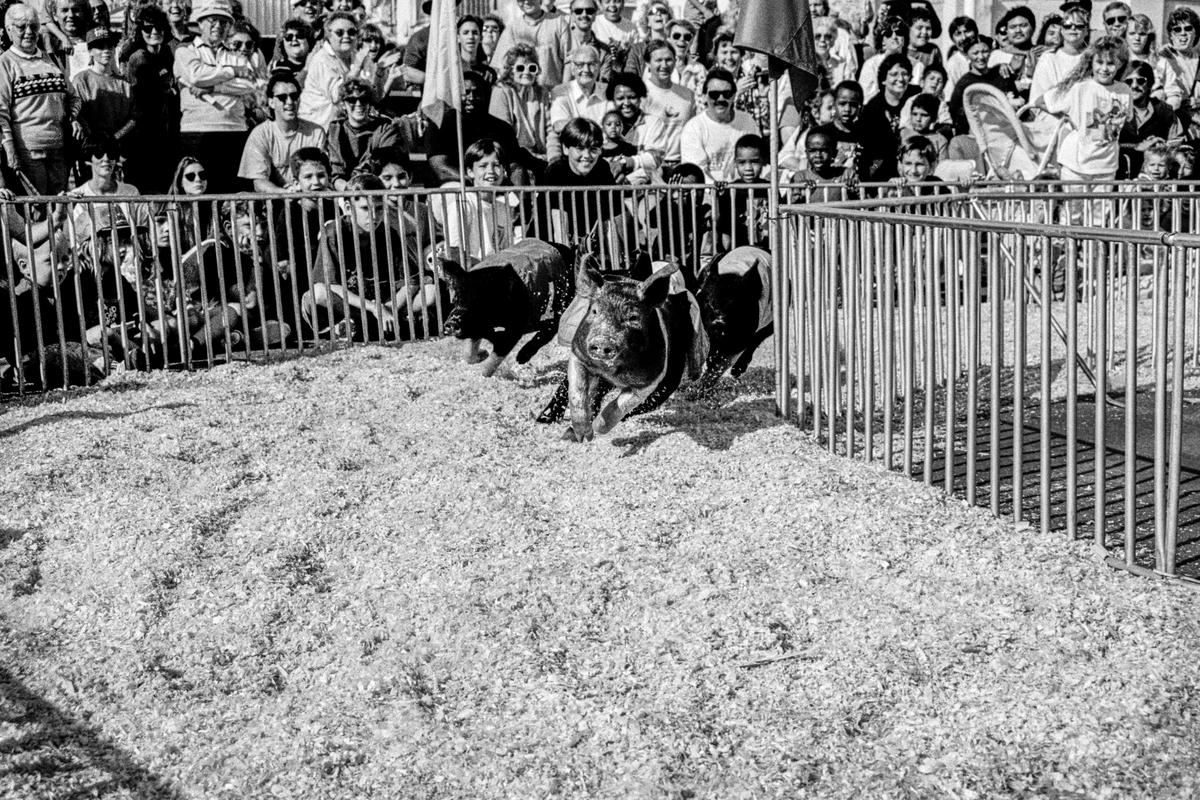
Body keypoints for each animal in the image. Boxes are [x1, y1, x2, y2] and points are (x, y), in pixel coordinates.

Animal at [441, 239, 576, 376]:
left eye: (479, 302)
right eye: (456, 300)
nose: (452, 322)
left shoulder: (514, 330)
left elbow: (493, 360)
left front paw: (484, 374)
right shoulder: (476, 328)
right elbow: (468, 353)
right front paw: (484, 354)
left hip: (561, 306)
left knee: (550, 330)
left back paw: (521, 358)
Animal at [537, 261, 710, 438]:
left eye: (633, 317)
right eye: (594, 311)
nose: (603, 340)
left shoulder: (649, 381)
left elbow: (620, 406)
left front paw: (597, 427)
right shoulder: (579, 355)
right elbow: (576, 392)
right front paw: (581, 435)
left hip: (670, 380)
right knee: (569, 388)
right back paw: (544, 419)